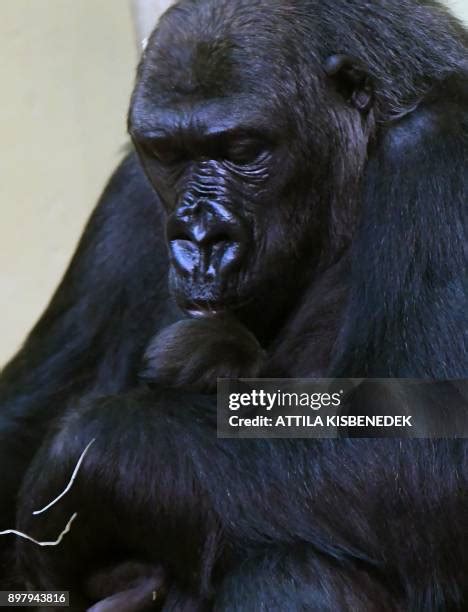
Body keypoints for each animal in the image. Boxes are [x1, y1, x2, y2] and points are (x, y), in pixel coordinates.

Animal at [0, 0, 468, 608]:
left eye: (242, 151)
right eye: (167, 152)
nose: (200, 238)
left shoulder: (442, 150)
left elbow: (423, 454)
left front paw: (86, 462)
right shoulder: (128, 200)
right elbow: (18, 422)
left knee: (293, 565)